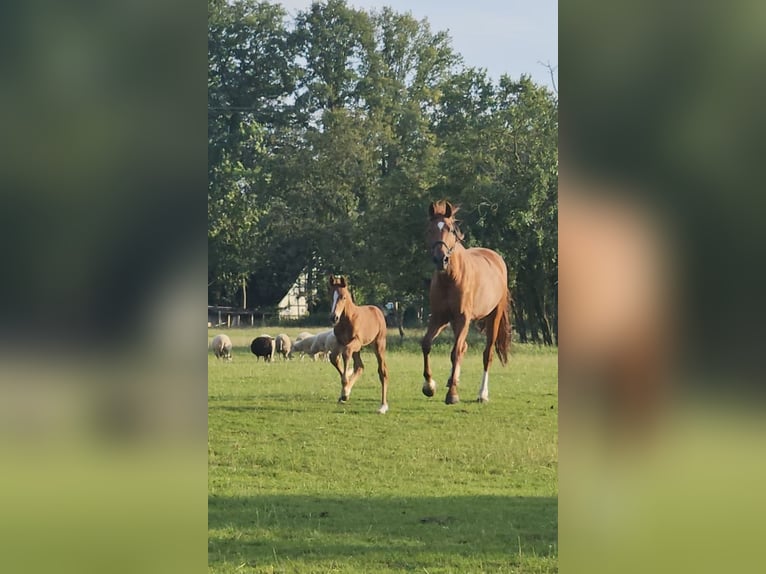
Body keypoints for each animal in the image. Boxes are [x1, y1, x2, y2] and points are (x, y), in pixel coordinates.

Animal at [328, 276, 392, 414]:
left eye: (343, 297)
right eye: (331, 296)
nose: (334, 317)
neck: (346, 320)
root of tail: (377, 310)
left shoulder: (356, 342)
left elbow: (346, 353)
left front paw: (345, 389)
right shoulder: (340, 341)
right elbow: (333, 358)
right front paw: (345, 392)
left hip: (378, 345)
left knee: (382, 371)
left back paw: (383, 406)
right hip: (358, 349)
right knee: (360, 366)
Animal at [424, 201, 512, 404]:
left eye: (450, 229)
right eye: (430, 229)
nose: (440, 259)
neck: (451, 277)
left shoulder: (462, 318)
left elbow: (455, 352)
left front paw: (452, 395)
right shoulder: (439, 318)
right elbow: (426, 344)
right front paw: (429, 386)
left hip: (493, 317)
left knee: (487, 354)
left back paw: (482, 394)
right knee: (463, 347)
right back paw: (452, 380)